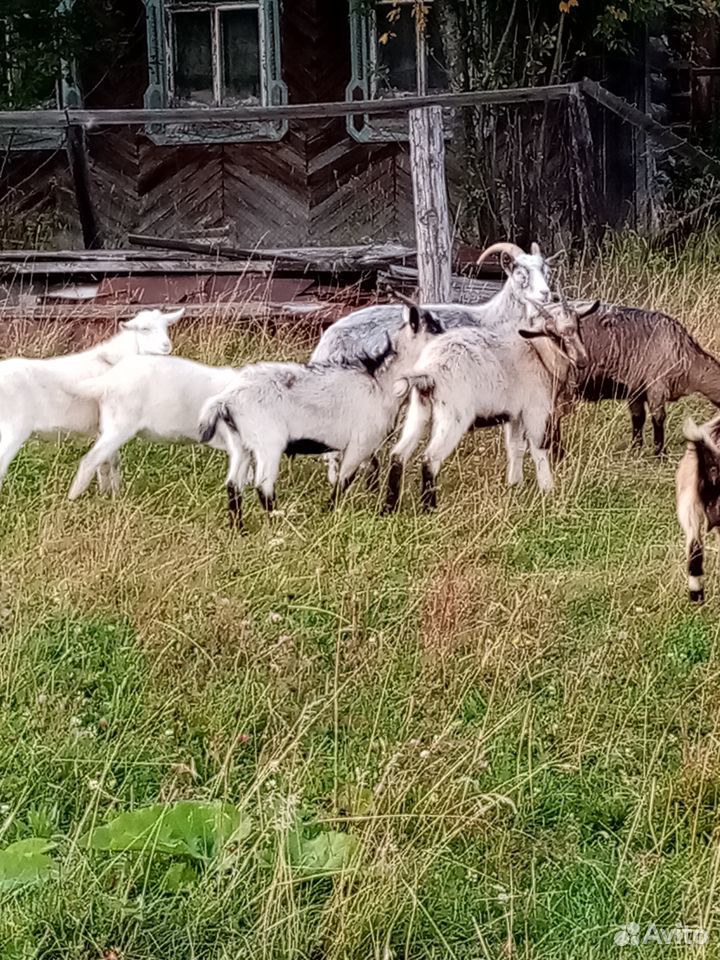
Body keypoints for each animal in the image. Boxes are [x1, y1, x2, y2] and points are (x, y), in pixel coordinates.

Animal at [0, 306, 183, 492]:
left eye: (166, 326)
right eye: (144, 329)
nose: (166, 345)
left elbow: (104, 463)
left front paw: (105, 492)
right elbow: (112, 461)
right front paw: (116, 493)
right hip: (13, 429)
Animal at [386, 300, 600, 512]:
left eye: (578, 325)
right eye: (554, 334)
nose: (582, 361)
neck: (539, 355)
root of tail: (429, 370)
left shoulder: (515, 415)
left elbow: (515, 447)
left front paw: (515, 485)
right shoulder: (535, 411)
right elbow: (538, 449)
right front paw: (548, 489)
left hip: (419, 408)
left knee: (398, 454)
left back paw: (390, 507)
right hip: (453, 416)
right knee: (430, 459)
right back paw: (429, 508)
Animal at [556, 306, 720, 460]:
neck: (690, 363)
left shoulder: (636, 390)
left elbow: (638, 419)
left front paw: (635, 450)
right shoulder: (656, 386)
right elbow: (658, 418)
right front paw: (659, 453)